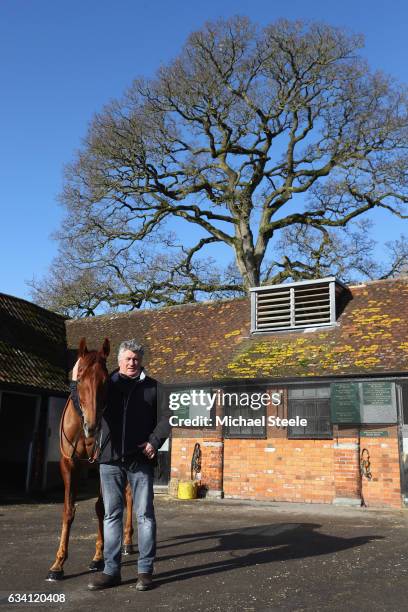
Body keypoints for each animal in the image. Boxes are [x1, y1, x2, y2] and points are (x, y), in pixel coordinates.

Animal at [45, 340, 135, 584]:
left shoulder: (102, 465)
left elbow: (101, 508)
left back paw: (127, 542)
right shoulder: (69, 464)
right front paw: (58, 564)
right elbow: (68, 510)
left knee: (129, 496)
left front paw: (98, 557)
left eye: (105, 380)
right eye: (81, 376)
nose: (92, 426)